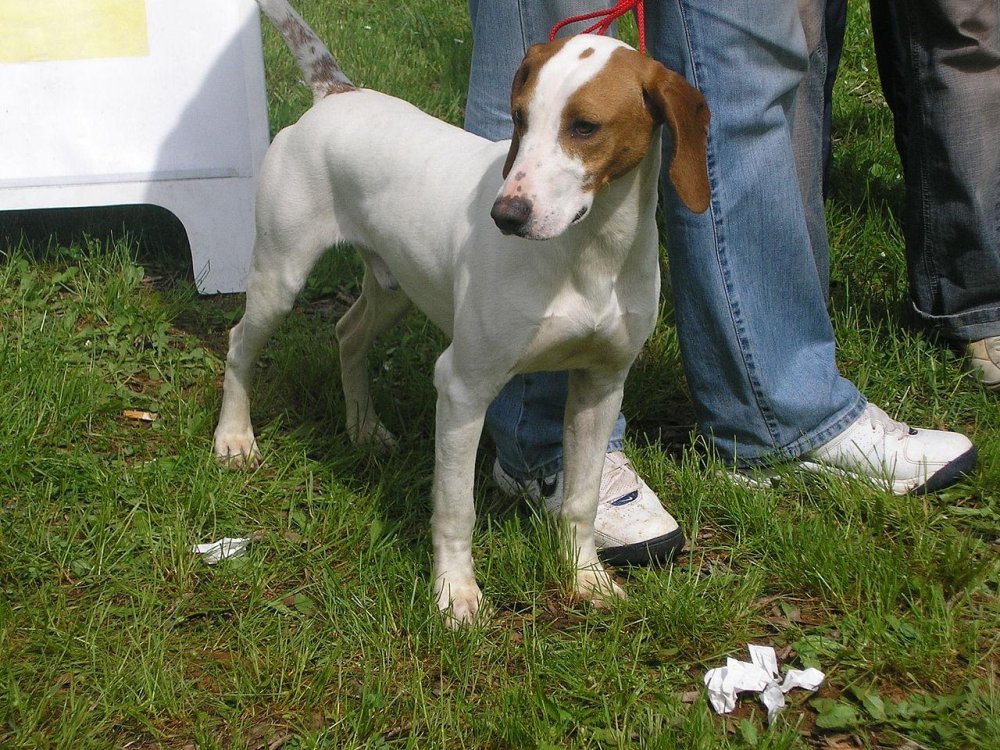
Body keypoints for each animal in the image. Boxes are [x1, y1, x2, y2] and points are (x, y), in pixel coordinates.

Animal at [215, 0, 708, 624]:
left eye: (585, 126)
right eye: (519, 118)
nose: (506, 215)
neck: (589, 254)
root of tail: (337, 91)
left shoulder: (601, 385)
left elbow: (581, 500)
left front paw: (586, 579)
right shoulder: (463, 387)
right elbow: (456, 510)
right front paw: (455, 595)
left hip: (395, 286)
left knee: (348, 333)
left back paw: (363, 427)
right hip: (280, 276)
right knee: (239, 343)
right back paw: (234, 439)